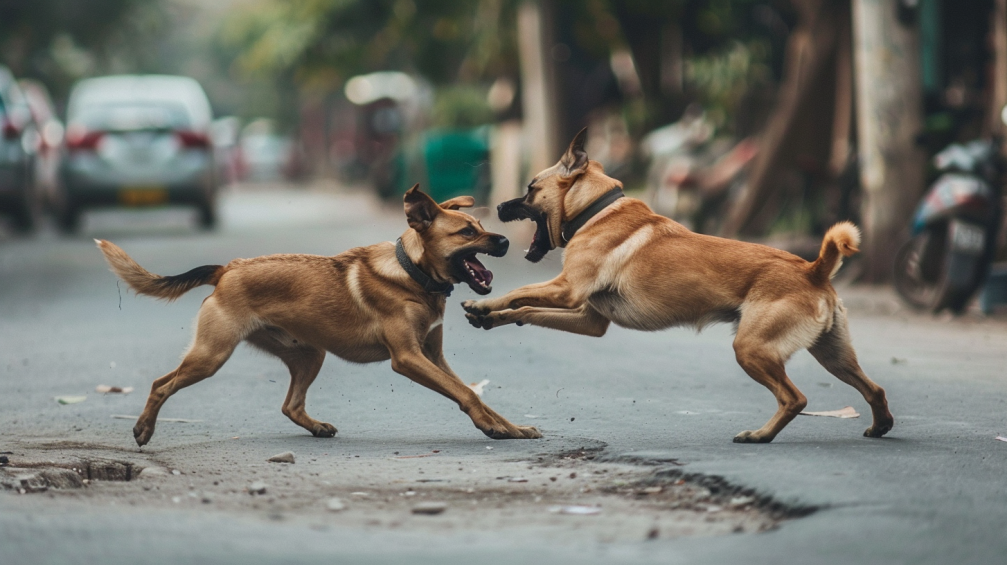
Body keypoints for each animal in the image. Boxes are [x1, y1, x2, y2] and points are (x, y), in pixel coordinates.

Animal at [100, 185, 543, 445]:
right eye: (467, 233)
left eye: (480, 224)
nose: (506, 241)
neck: (413, 274)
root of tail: (228, 268)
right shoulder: (408, 358)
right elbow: (465, 392)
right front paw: (491, 426)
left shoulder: (433, 356)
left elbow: (470, 391)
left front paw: (509, 426)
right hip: (211, 355)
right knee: (160, 384)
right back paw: (143, 429)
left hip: (310, 354)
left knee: (290, 406)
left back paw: (314, 426)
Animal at [461, 129, 894, 443]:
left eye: (530, 188)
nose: (498, 207)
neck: (597, 210)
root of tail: (813, 270)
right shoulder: (589, 319)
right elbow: (528, 309)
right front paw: (492, 317)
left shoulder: (566, 290)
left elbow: (519, 293)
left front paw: (484, 307)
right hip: (832, 354)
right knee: (873, 389)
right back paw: (880, 426)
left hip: (752, 349)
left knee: (795, 398)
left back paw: (761, 435)